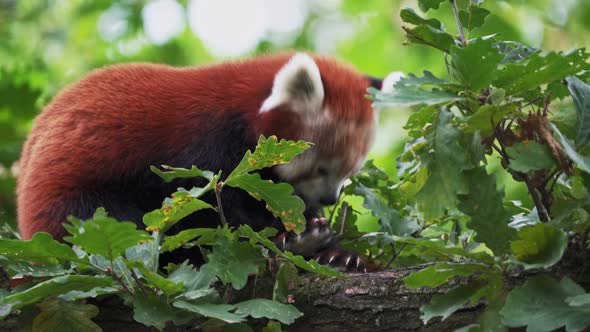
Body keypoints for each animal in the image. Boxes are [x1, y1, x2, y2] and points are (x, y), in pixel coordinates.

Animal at [15, 52, 388, 268]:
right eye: (321, 168)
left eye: (349, 172)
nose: (330, 198)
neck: (243, 108)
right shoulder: (206, 145)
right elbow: (207, 211)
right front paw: (289, 239)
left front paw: (339, 252)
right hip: (73, 204)